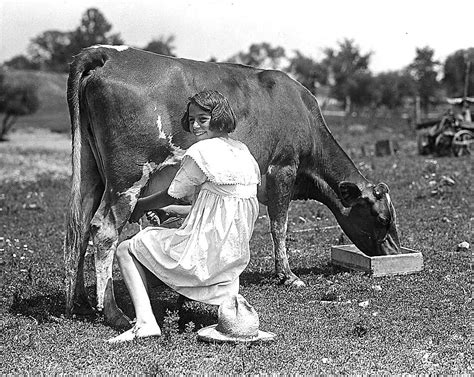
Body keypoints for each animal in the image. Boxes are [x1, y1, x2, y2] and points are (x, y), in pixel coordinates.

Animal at [64, 44, 400, 326]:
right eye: (382, 218)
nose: (393, 255)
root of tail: (108, 54)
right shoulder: (282, 169)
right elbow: (279, 226)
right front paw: (287, 276)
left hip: (92, 172)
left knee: (79, 227)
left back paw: (80, 301)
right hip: (127, 178)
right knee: (104, 230)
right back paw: (112, 312)